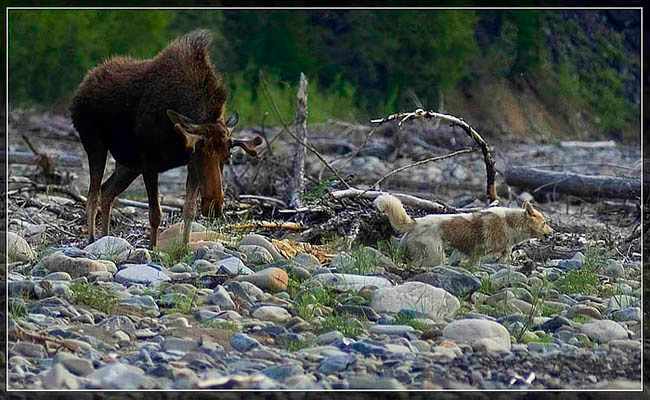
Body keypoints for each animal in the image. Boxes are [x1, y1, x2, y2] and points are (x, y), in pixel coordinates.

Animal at [70, 29, 262, 249]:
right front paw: (152, 249)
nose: (214, 207)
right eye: (203, 154)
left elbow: (189, 210)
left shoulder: (187, 163)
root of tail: (80, 89)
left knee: (107, 190)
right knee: (92, 195)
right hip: (95, 144)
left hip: (128, 164)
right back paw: (92, 239)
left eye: (227, 157)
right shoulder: (150, 161)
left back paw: (105, 237)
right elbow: (155, 213)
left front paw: (185, 247)